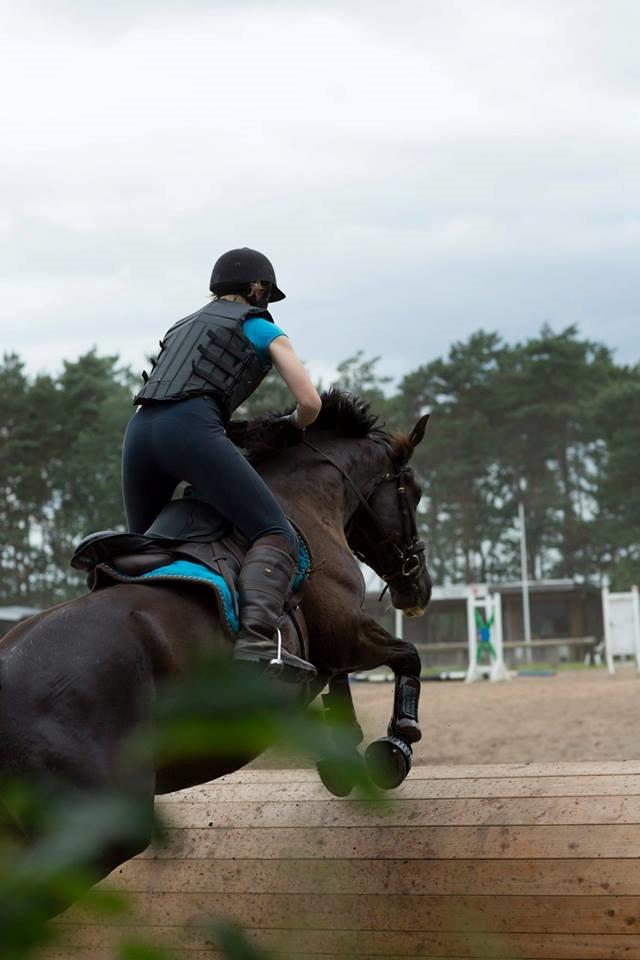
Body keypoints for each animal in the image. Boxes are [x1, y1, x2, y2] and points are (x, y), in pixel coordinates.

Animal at [0, 388, 432, 908]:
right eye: (414, 493)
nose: (419, 589)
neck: (307, 503)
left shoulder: (332, 646)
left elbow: (342, 682)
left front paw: (344, 756)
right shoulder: (347, 631)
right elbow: (407, 655)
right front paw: (396, 746)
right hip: (103, 825)